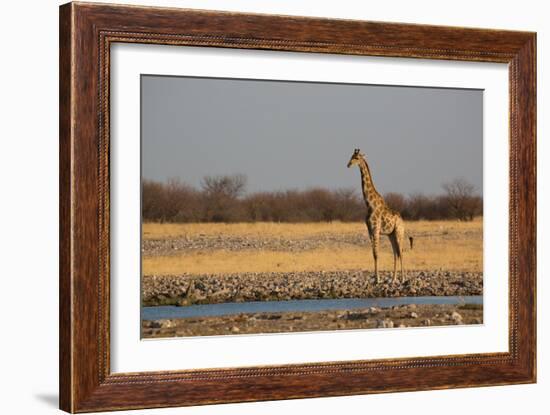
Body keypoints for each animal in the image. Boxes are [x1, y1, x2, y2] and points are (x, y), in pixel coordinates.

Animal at [348, 148, 412, 284]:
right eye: (351, 156)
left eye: (356, 158)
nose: (348, 164)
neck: (369, 204)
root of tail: (403, 220)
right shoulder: (370, 231)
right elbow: (373, 253)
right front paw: (375, 278)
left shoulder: (376, 229)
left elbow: (376, 254)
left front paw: (377, 279)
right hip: (391, 235)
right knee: (395, 253)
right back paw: (393, 279)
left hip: (399, 232)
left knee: (401, 252)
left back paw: (403, 278)